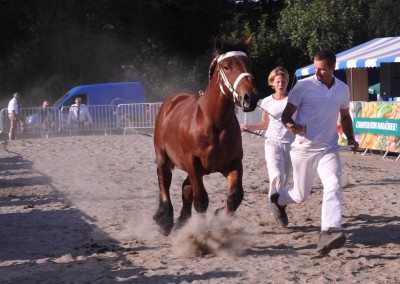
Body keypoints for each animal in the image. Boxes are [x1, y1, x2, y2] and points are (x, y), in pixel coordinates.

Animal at [153, 36, 260, 235]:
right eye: (226, 66)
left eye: (248, 63)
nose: (250, 97)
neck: (213, 123)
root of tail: (171, 101)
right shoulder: (192, 163)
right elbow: (201, 200)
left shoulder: (233, 162)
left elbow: (235, 196)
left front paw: (221, 221)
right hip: (163, 157)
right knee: (164, 181)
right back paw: (165, 220)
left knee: (185, 188)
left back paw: (181, 221)